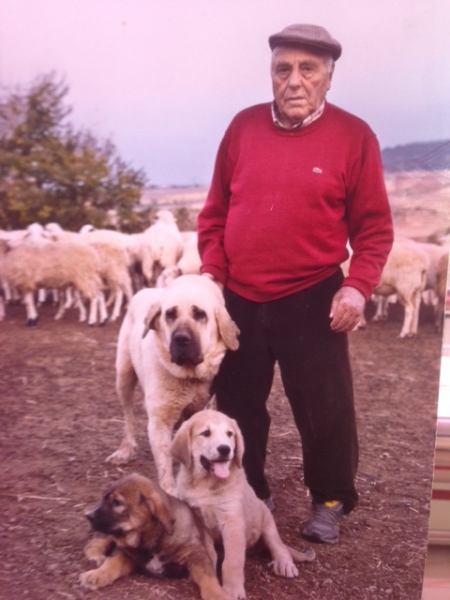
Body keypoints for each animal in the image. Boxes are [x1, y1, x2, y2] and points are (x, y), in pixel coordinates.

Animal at [79, 474, 229, 600]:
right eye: (104, 499)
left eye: (116, 503)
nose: (88, 515)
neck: (153, 539)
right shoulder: (128, 553)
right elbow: (112, 561)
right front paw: (97, 575)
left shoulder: (196, 554)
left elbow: (208, 577)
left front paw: (217, 595)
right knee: (95, 542)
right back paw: (96, 556)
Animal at [106, 274, 239, 494]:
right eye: (170, 314)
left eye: (200, 314)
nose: (181, 339)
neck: (189, 376)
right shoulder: (160, 420)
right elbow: (165, 465)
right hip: (123, 377)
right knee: (128, 416)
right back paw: (126, 449)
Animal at [171, 410, 314, 600]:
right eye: (206, 433)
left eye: (229, 434)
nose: (225, 449)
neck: (206, 485)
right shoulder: (199, 521)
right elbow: (210, 554)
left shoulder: (233, 521)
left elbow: (232, 561)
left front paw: (232, 590)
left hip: (267, 523)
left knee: (278, 545)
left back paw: (284, 563)